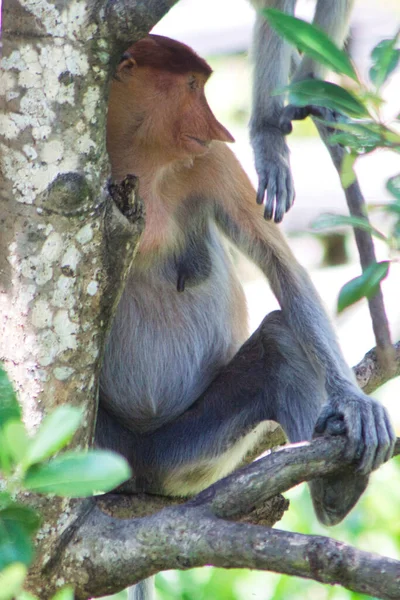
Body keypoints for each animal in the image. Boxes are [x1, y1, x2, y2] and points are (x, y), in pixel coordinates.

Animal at [96, 34, 394, 600]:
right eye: (192, 86)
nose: (219, 128)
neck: (141, 165)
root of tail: (140, 473)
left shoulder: (212, 163)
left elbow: (283, 268)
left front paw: (354, 404)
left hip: (190, 457)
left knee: (279, 338)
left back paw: (336, 479)